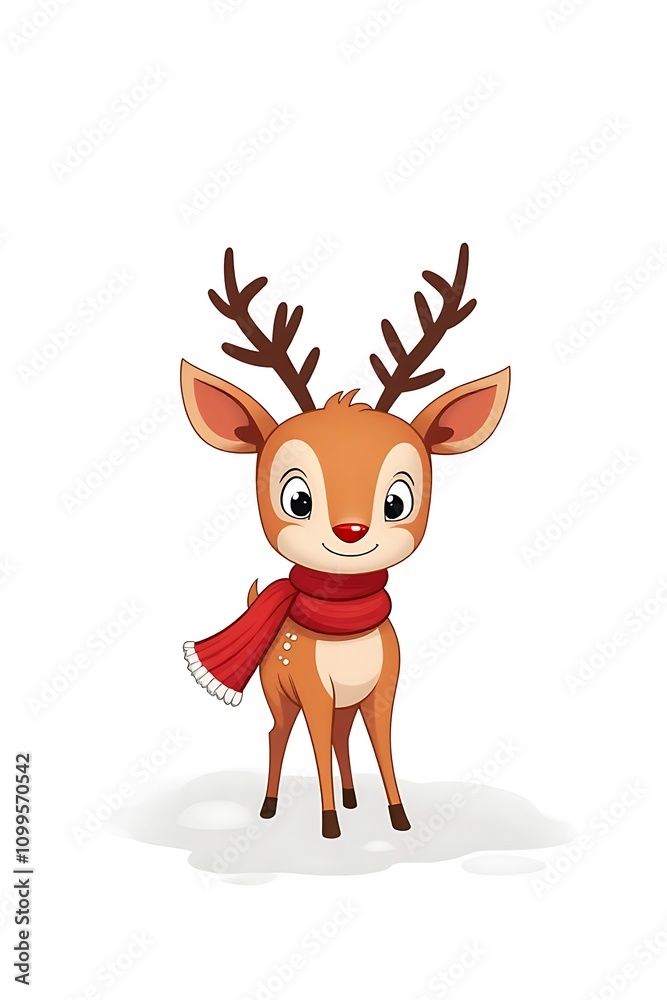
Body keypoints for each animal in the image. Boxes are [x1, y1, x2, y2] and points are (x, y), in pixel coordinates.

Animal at [181, 245, 509, 839]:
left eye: (397, 500)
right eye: (298, 499)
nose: (351, 531)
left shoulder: (382, 690)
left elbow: (383, 746)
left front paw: (399, 817)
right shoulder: (313, 691)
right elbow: (313, 744)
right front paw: (329, 825)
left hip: (344, 704)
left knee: (339, 735)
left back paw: (356, 799)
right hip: (278, 694)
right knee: (280, 734)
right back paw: (273, 807)